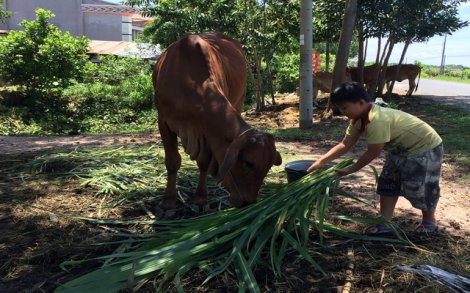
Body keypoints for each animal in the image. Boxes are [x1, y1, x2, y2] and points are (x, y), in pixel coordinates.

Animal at [152, 32, 280, 208]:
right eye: (249, 163)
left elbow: (204, 163)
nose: (248, 202)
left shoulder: (206, 134)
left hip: (239, 99)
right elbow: (172, 162)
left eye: (268, 168)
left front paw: (201, 196)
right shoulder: (163, 121)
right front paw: (169, 201)